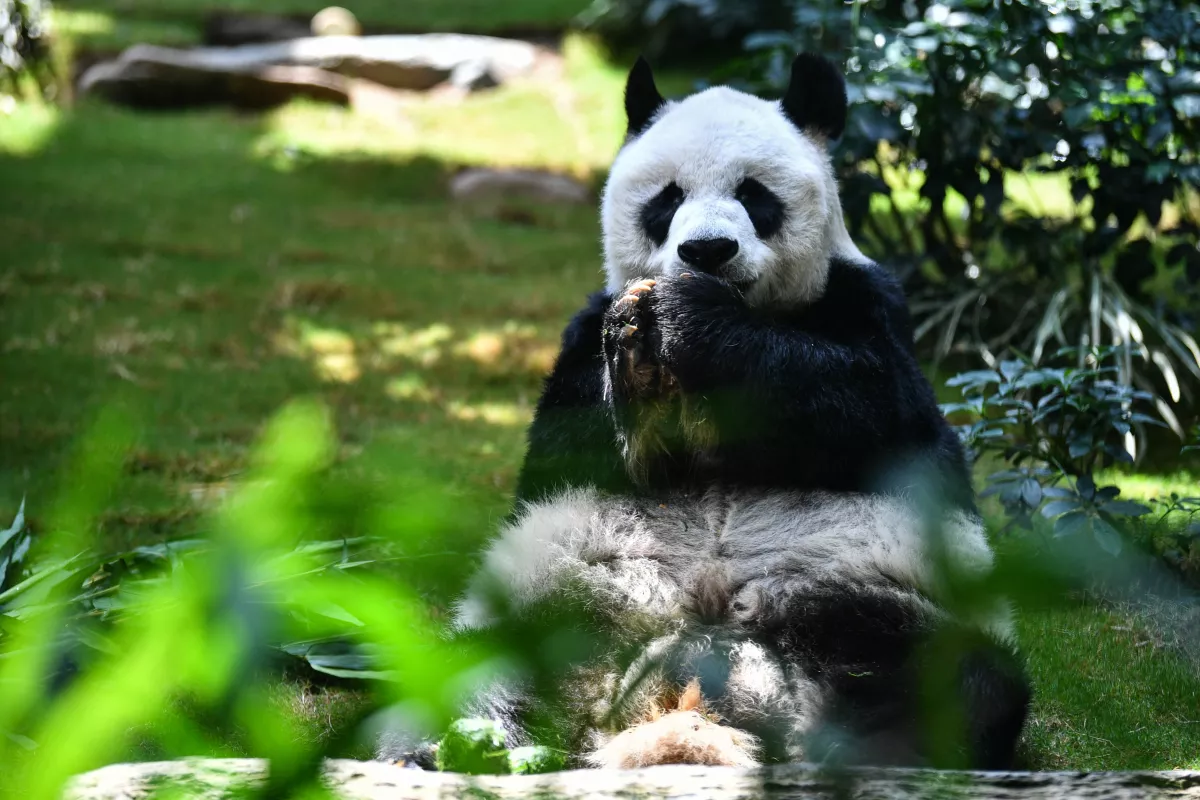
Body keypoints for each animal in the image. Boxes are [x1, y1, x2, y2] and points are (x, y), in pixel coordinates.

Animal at [380, 53, 1030, 772]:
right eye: (667, 199)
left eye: (755, 194)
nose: (708, 251)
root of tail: (678, 692)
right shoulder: (578, 342)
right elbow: (580, 438)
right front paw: (642, 351)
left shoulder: (870, 306)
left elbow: (868, 401)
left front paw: (691, 320)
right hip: (554, 606)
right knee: (464, 672)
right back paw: (451, 747)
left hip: (866, 600)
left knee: (952, 683)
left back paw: (855, 751)